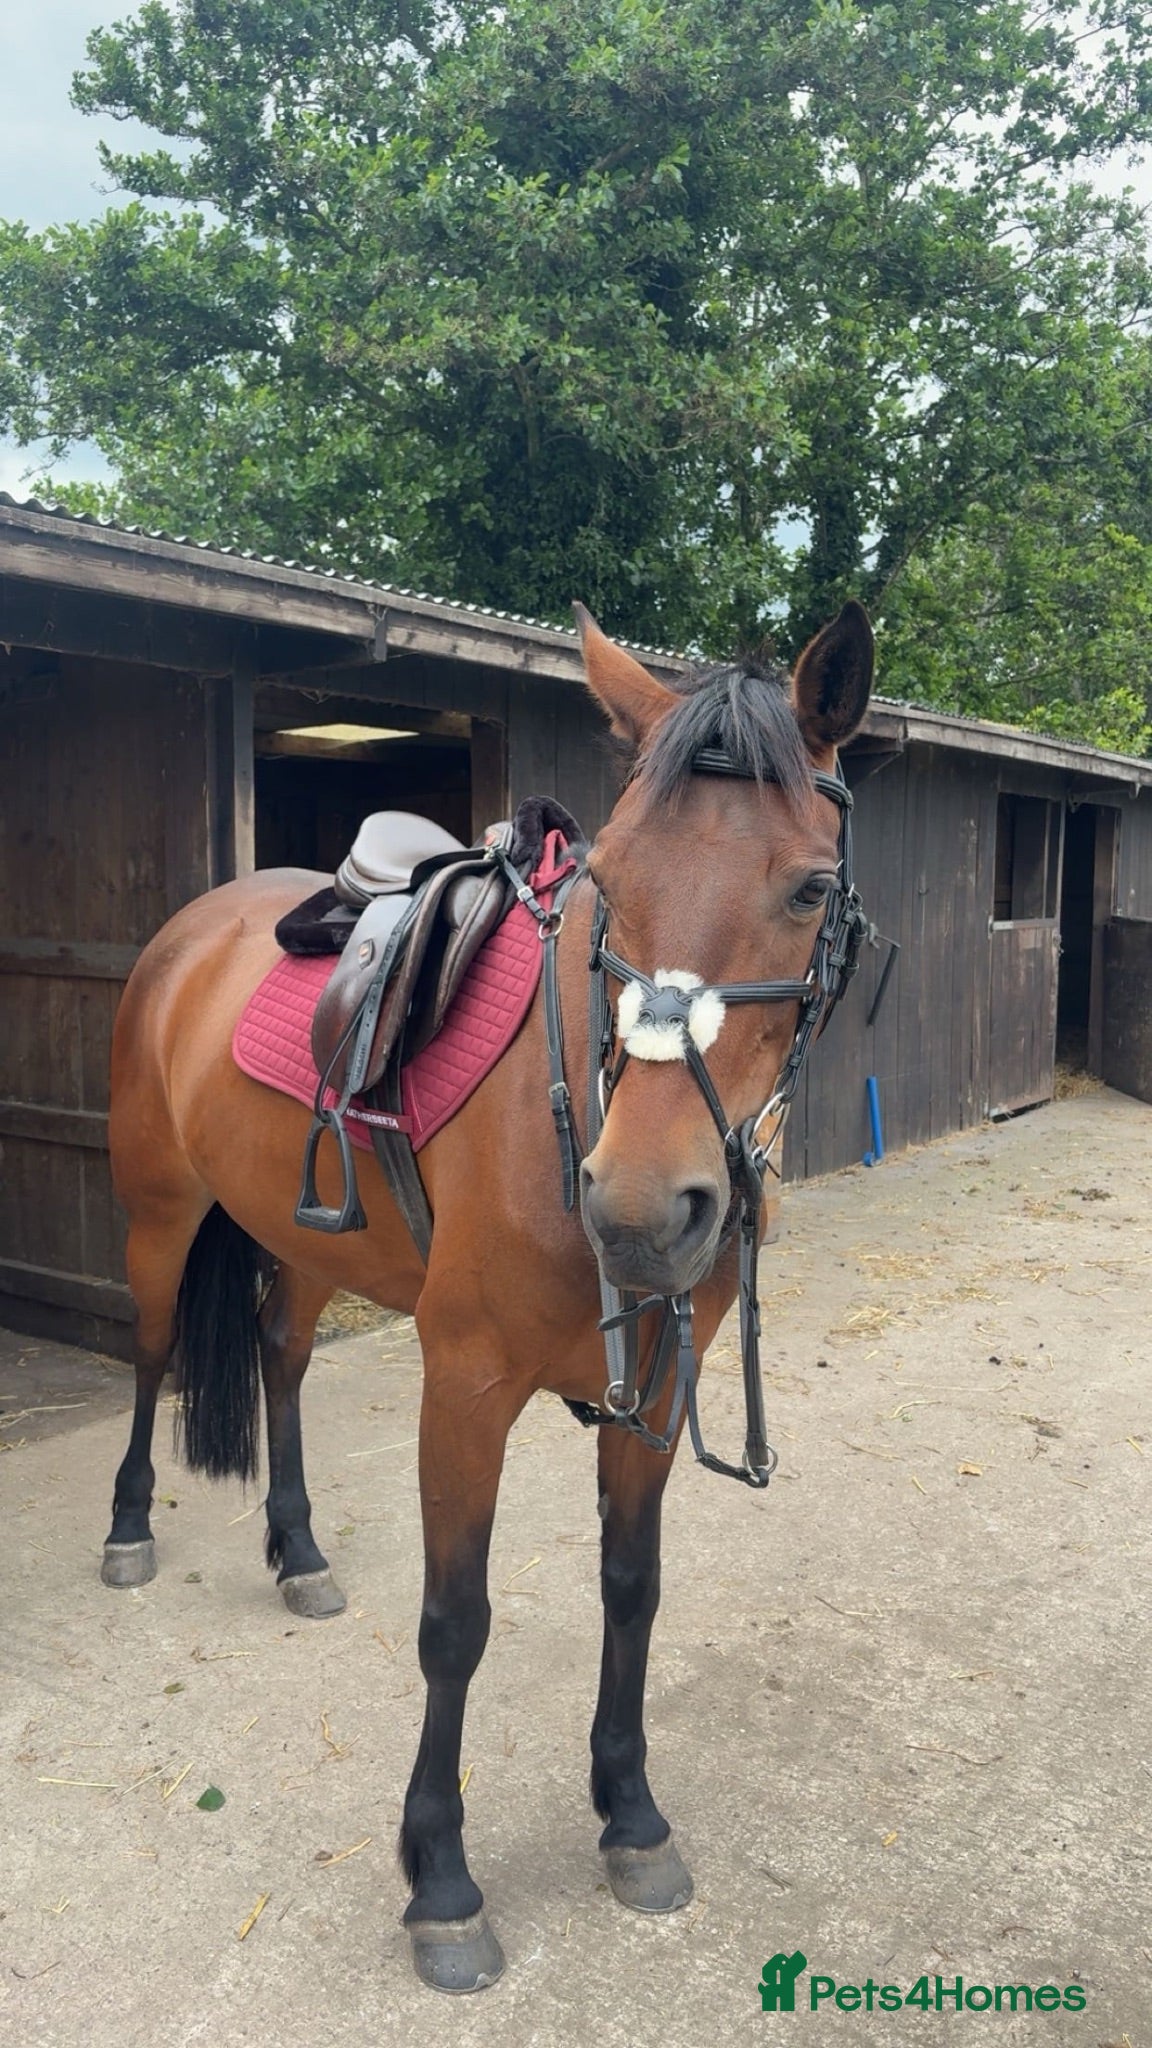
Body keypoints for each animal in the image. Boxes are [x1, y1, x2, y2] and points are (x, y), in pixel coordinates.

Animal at [100, 600, 875, 1991]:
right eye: (611, 878)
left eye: (807, 885)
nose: (639, 1207)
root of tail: (192, 929)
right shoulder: (463, 1385)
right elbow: (455, 1621)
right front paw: (442, 1881)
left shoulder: (654, 1391)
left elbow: (633, 1587)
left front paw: (630, 1814)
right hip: (159, 1216)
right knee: (149, 1352)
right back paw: (130, 1526)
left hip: (305, 1242)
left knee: (281, 1355)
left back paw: (298, 1548)